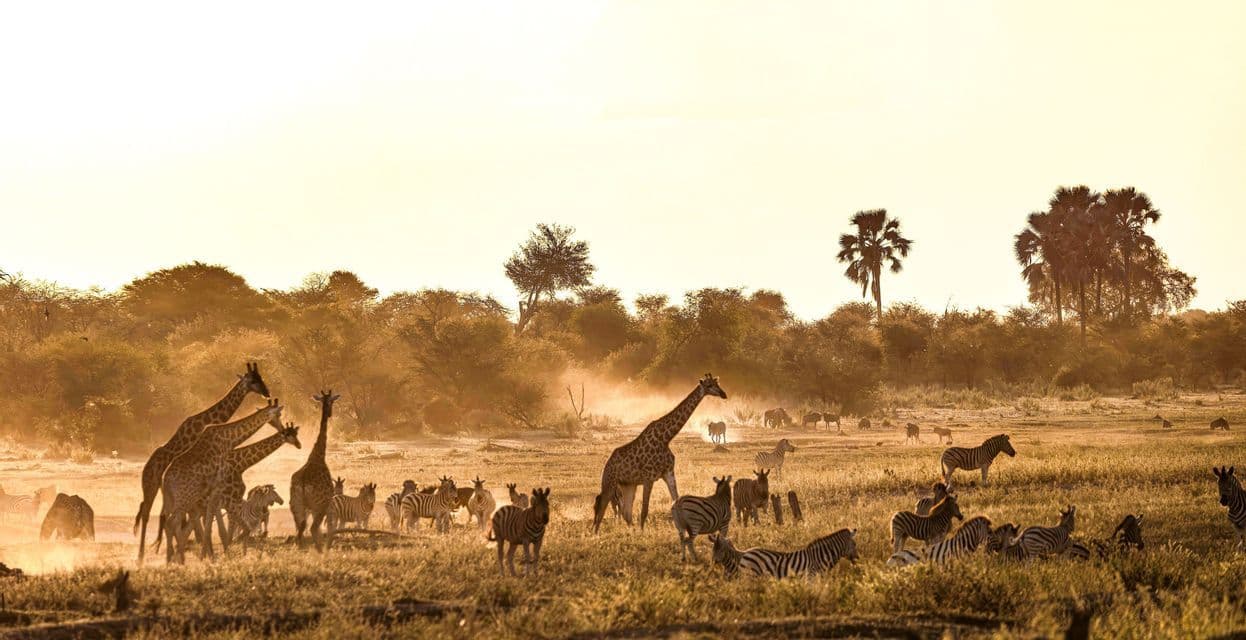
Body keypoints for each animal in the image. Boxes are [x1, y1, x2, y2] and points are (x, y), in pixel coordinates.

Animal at [134, 362, 269, 563]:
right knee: (146, 512)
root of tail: (146, 466)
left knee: (163, 514)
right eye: (253, 380)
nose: (267, 392)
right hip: (151, 486)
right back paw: (142, 555)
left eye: (261, 378)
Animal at [158, 399, 283, 564]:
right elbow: (221, 527)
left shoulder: (217, 495)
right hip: (184, 499)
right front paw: (221, 556)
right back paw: (174, 560)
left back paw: (176, 558)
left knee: (176, 525)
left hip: (179, 502)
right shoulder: (221, 491)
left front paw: (216, 556)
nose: (283, 429)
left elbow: (215, 526)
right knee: (173, 524)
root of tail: (165, 480)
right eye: (277, 415)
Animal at [290, 390, 339, 551]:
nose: (330, 413)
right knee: (311, 528)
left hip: (296, 505)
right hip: (318, 506)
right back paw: (320, 550)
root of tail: (304, 484)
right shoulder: (327, 502)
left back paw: (300, 548)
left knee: (300, 528)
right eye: (331, 401)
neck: (318, 456)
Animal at [592, 374, 727, 533]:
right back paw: (596, 533)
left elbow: (677, 501)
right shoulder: (648, 478)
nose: (723, 394)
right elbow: (644, 510)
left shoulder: (668, 473)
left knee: (626, 512)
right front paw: (643, 532)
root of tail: (607, 464)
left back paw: (631, 531)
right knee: (602, 507)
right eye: (709, 385)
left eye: (717, 383)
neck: (666, 438)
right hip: (609, 482)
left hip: (628, 484)